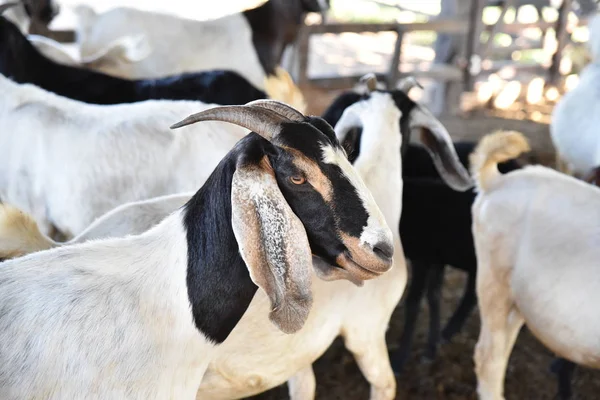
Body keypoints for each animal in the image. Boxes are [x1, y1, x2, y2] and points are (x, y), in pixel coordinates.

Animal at [390, 142, 520, 374]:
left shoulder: (423, 257)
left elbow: (413, 302)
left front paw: (399, 359)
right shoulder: (436, 258)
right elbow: (434, 295)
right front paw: (431, 347)